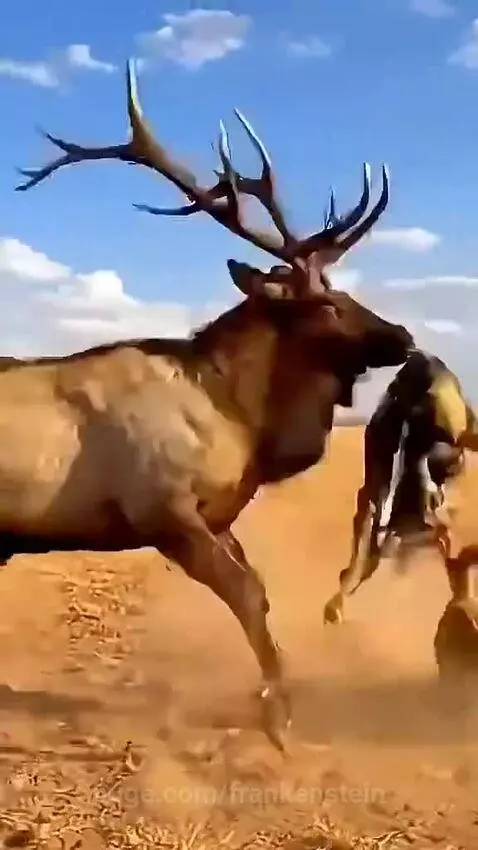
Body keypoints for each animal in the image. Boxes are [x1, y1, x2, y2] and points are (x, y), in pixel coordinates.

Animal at [12, 59, 414, 749]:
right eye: (326, 303)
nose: (405, 337)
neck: (240, 418)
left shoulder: (217, 512)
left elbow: (262, 593)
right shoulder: (162, 509)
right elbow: (248, 596)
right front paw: (277, 712)